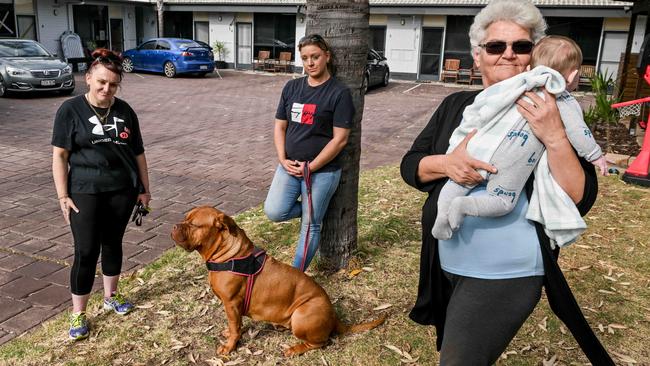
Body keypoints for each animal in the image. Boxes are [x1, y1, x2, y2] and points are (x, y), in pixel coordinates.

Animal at [170, 207, 388, 356]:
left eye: (193, 224)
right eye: (185, 219)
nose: (174, 225)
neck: (227, 253)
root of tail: (335, 317)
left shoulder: (231, 304)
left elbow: (234, 328)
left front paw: (230, 346)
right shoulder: (233, 308)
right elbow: (235, 325)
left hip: (301, 315)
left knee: (320, 343)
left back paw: (295, 349)